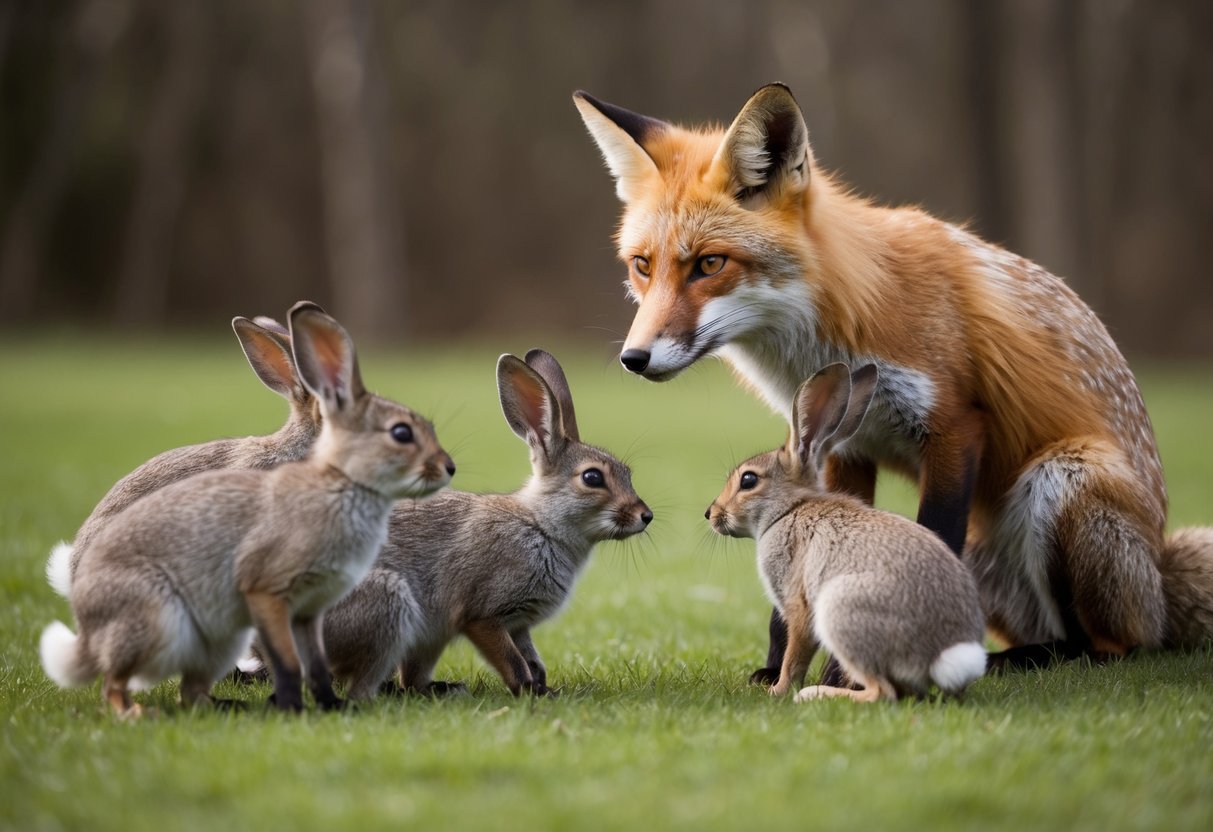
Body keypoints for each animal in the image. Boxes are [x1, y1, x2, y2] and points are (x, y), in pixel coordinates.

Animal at [322, 349, 652, 700]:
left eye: (628, 473)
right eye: (592, 478)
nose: (645, 516)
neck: (542, 525)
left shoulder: (519, 624)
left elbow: (532, 658)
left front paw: (544, 687)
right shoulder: (484, 616)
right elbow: (512, 660)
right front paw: (529, 692)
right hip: (391, 607)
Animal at [706, 362, 986, 702]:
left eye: (748, 480)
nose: (711, 513)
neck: (789, 509)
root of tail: (943, 657)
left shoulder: (800, 606)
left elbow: (794, 657)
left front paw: (778, 691)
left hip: (841, 611)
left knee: (881, 692)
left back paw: (815, 693)